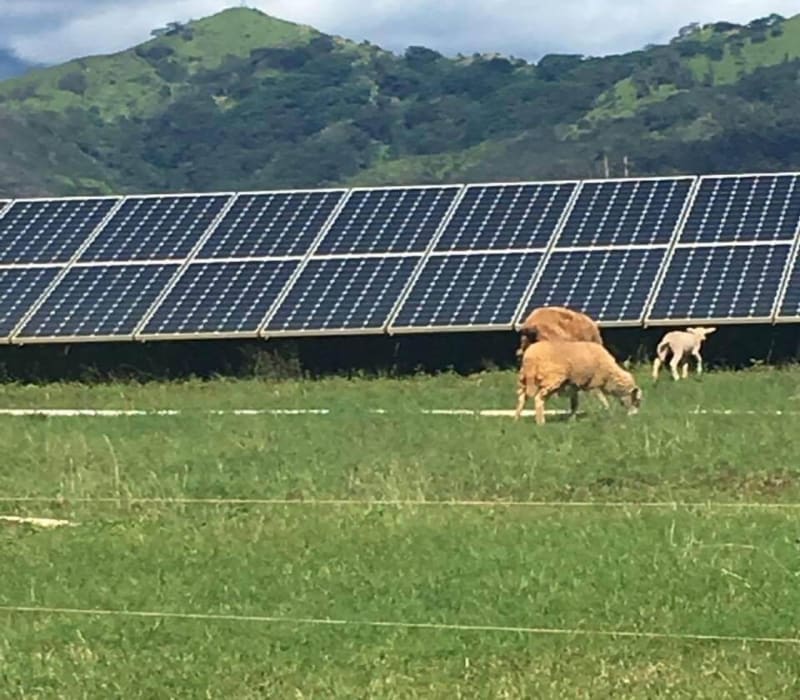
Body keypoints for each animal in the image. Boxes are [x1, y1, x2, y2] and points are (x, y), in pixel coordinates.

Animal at [512, 338, 644, 424]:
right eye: (637, 401)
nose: (635, 416)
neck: (610, 375)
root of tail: (531, 356)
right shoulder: (594, 384)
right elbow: (603, 400)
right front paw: (608, 413)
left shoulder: (574, 386)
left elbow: (575, 405)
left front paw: (572, 419)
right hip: (551, 379)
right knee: (539, 399)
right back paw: (541, 422)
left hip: (523, 379)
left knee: (521, 399)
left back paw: (516, 419)